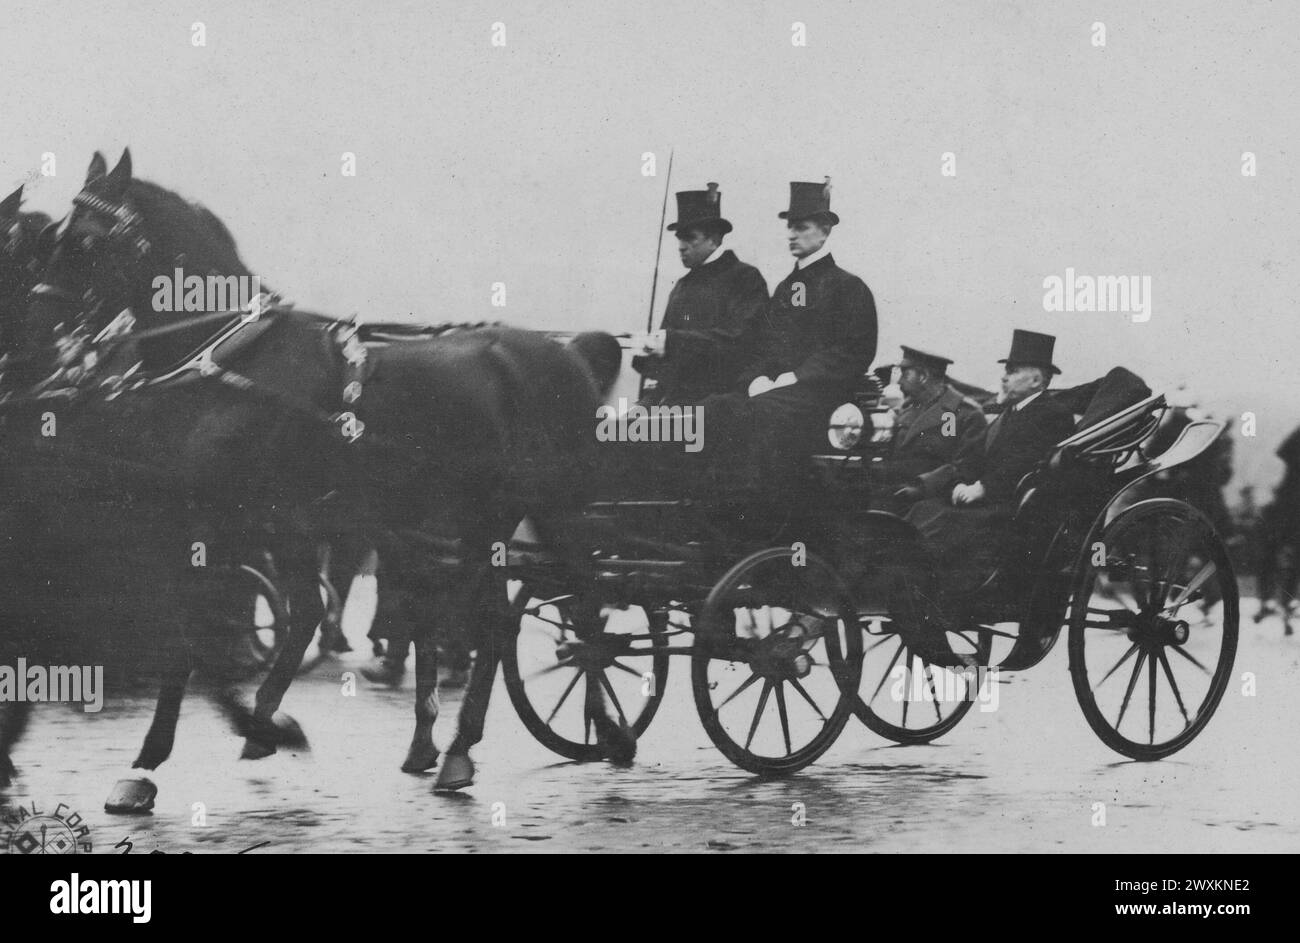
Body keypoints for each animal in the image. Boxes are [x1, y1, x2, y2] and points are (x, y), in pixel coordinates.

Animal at [0, 148, 613, 801]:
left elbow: (212, 626)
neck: (239, 360)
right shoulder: (268, 521)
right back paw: (457, 746)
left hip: (554, 506)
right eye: (54, 239)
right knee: (496, 619)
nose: (38, 339)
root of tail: (562, 353)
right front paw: (262, 726)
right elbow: (292, 616)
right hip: (479, 519)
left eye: (84, 242)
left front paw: (184, 747)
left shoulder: (238, 520)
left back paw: (600, 728)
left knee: (584, 605)